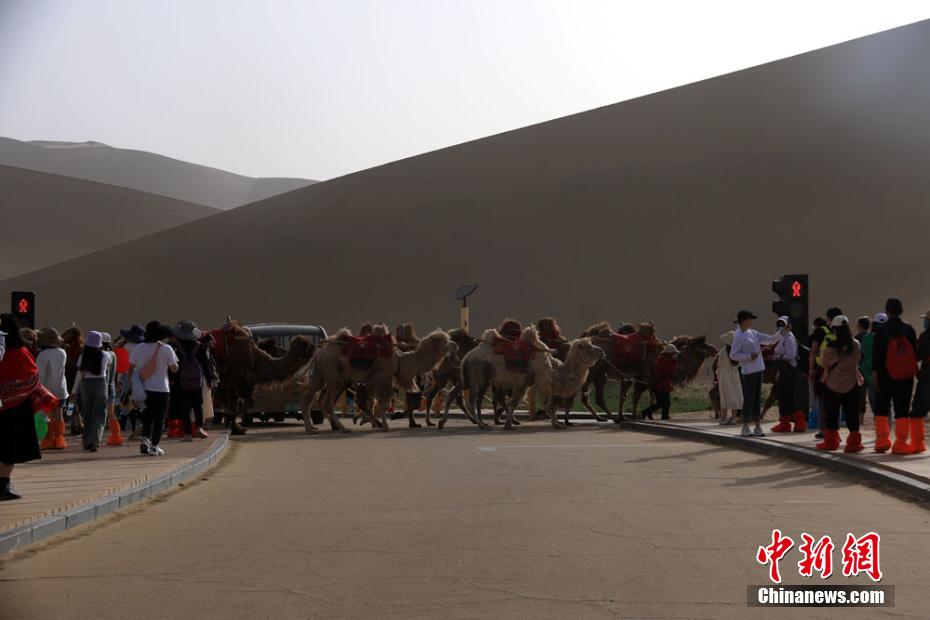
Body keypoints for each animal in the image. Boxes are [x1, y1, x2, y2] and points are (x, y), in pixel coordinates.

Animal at [300, 326, 454, 434]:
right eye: (446, 341)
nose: (456, 345)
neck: (400, 359)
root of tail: (318, 353)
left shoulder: (375, 380)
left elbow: (372, 402)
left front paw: (367, 420)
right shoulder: (383, 377)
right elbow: (383, 403)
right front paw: (382, 425)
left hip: (320, 375)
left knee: (309, 398)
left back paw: (310, 428)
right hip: (333, 377)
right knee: (327, 402)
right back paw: (343, 428)